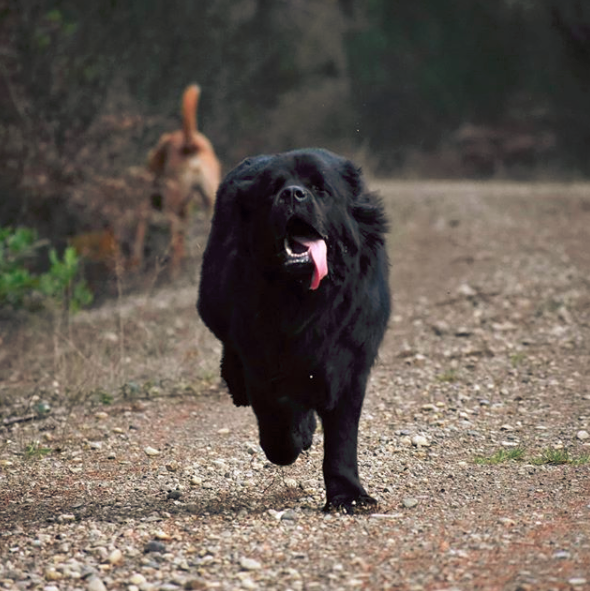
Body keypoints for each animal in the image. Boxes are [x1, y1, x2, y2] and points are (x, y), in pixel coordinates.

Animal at [199, 148, 394, 512]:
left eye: (320, 188)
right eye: (274, 189)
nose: (291, 194)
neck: (307, 298)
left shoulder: (350, 364)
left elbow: (342, 436)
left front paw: (348, 495)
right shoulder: (262, 361)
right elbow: (277, 412)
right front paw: (292, 441)